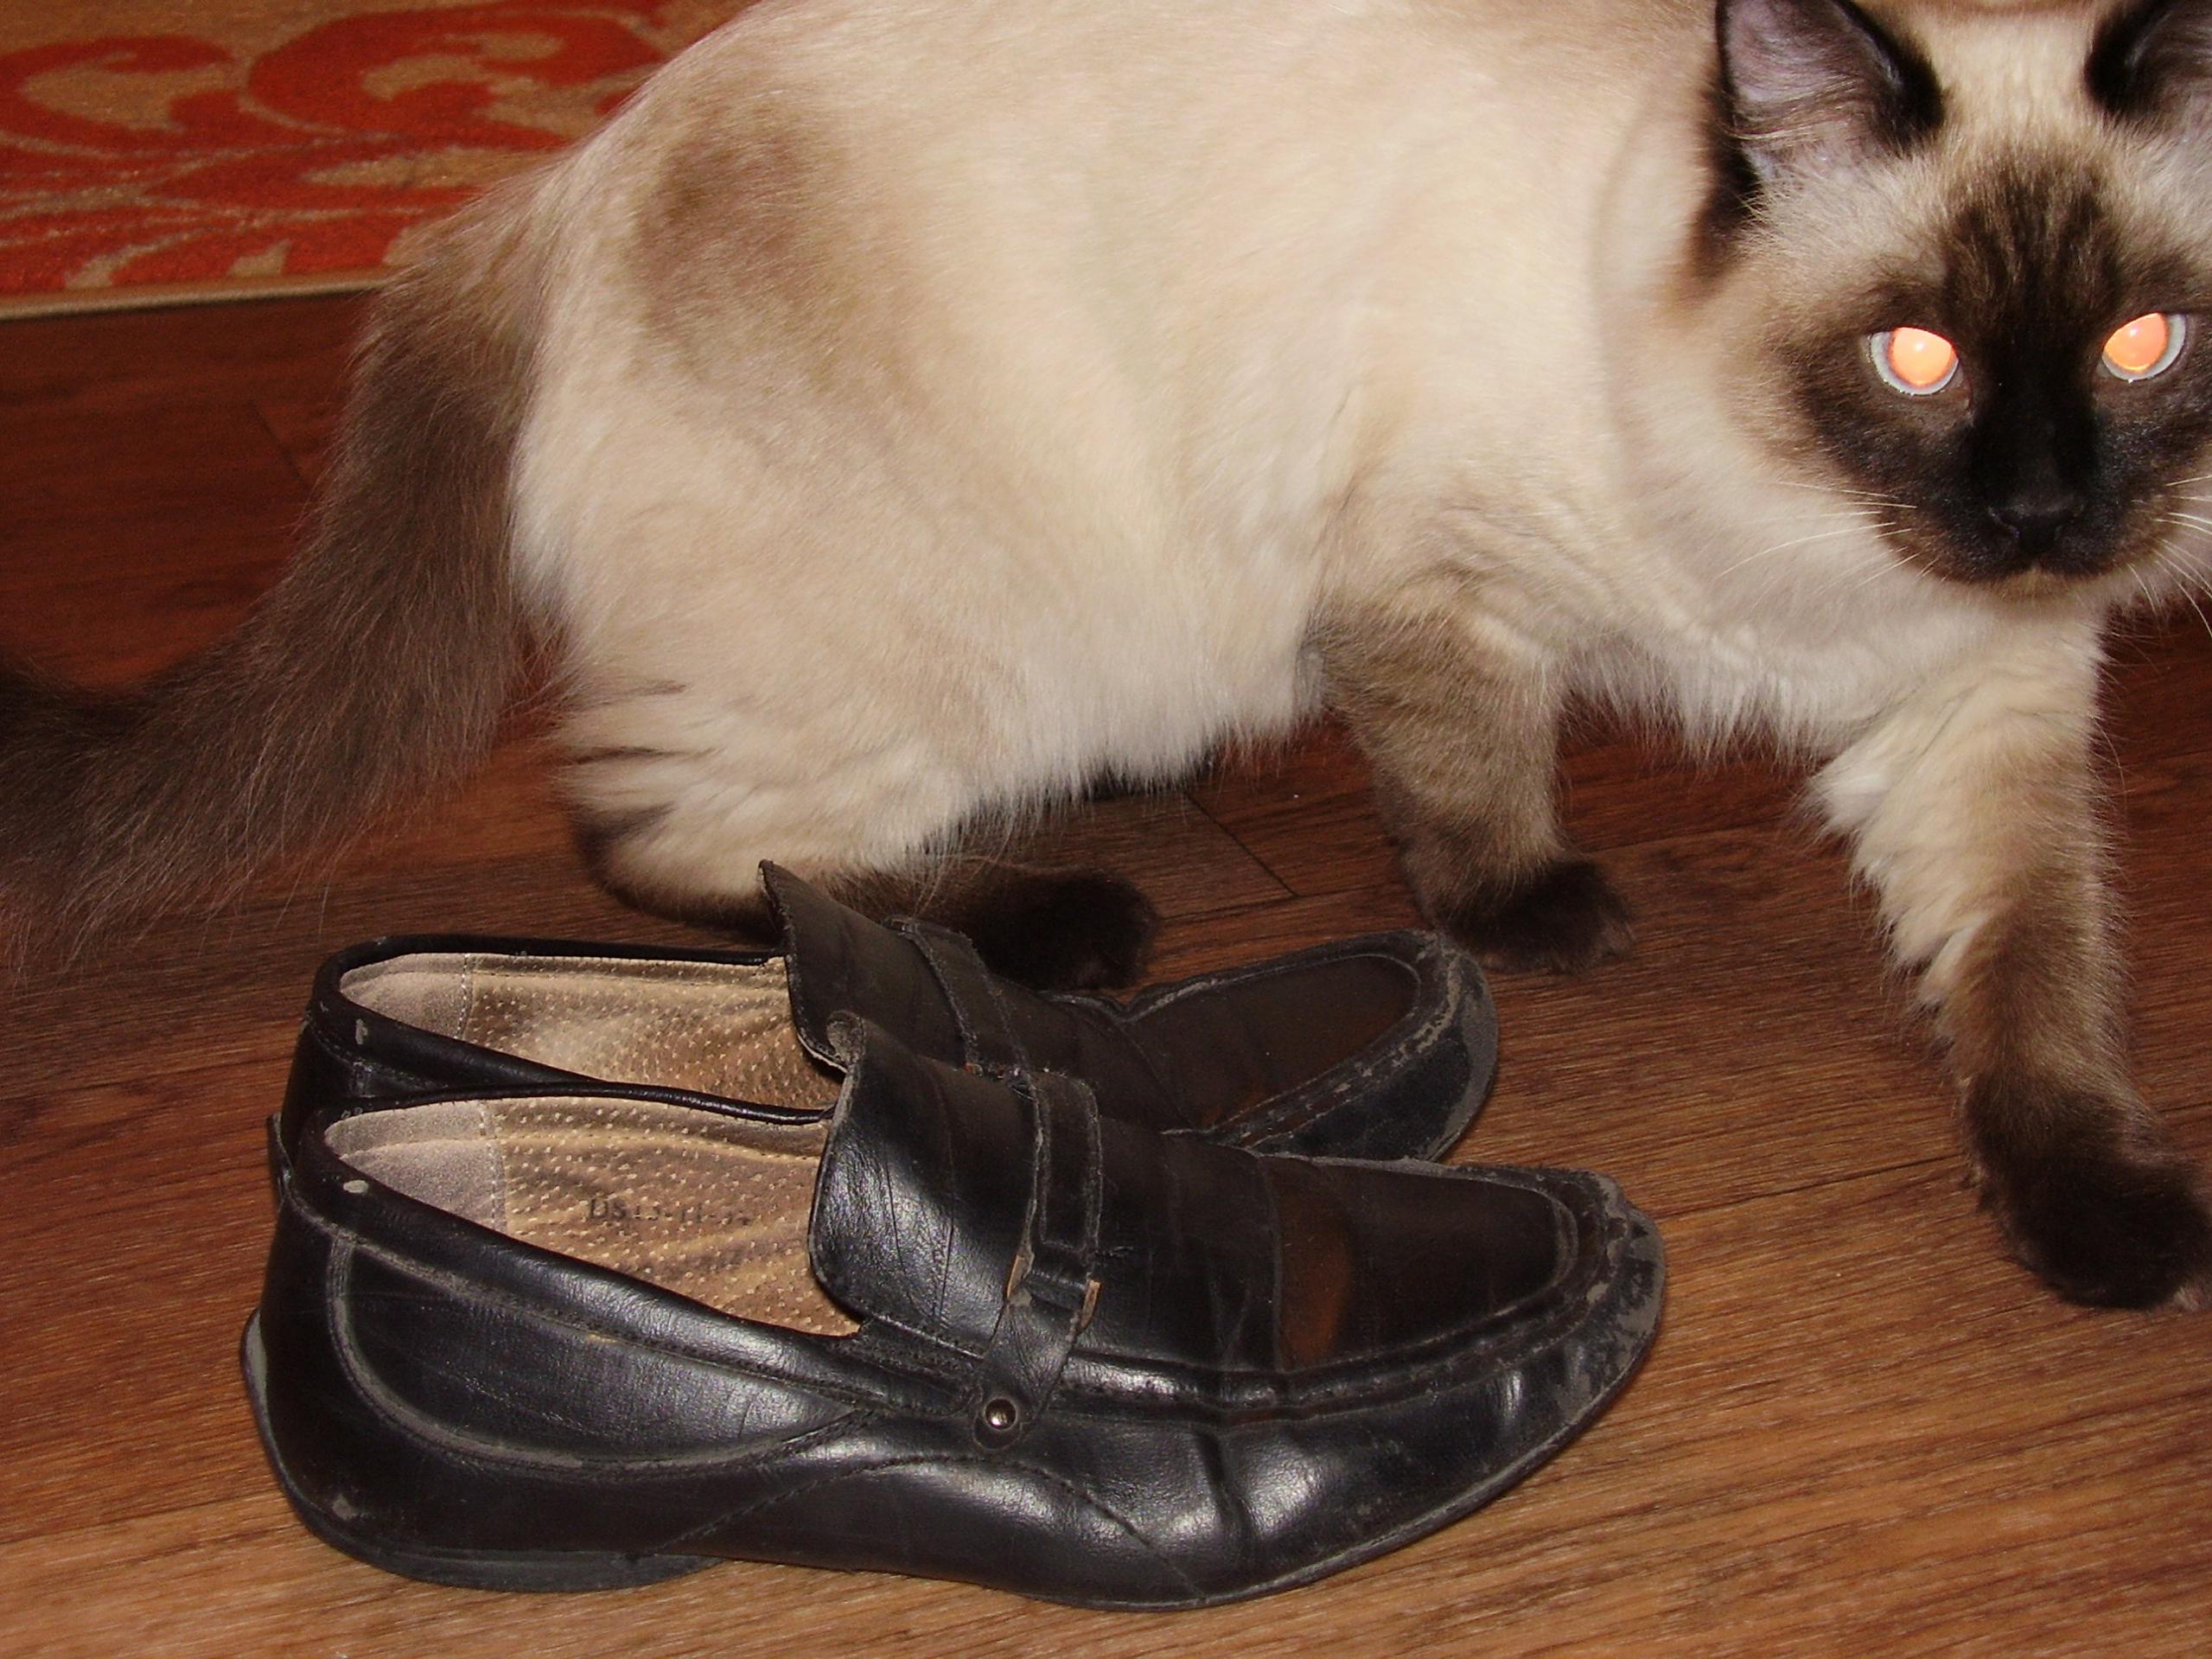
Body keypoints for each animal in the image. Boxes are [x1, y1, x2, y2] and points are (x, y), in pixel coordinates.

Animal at [4, 0, 2211, 1309]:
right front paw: (1538, 912)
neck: (1833, 558)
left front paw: (2101, 1224)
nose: (2046, 515)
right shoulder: (1428, 581)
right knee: (663, 844)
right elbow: (1470, 782)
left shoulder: (1978, 709)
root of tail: (560, 180)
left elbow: (2035, 978)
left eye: (2138, 345)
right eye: (1915, 355)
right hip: (939, 659)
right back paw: (1067, 913)